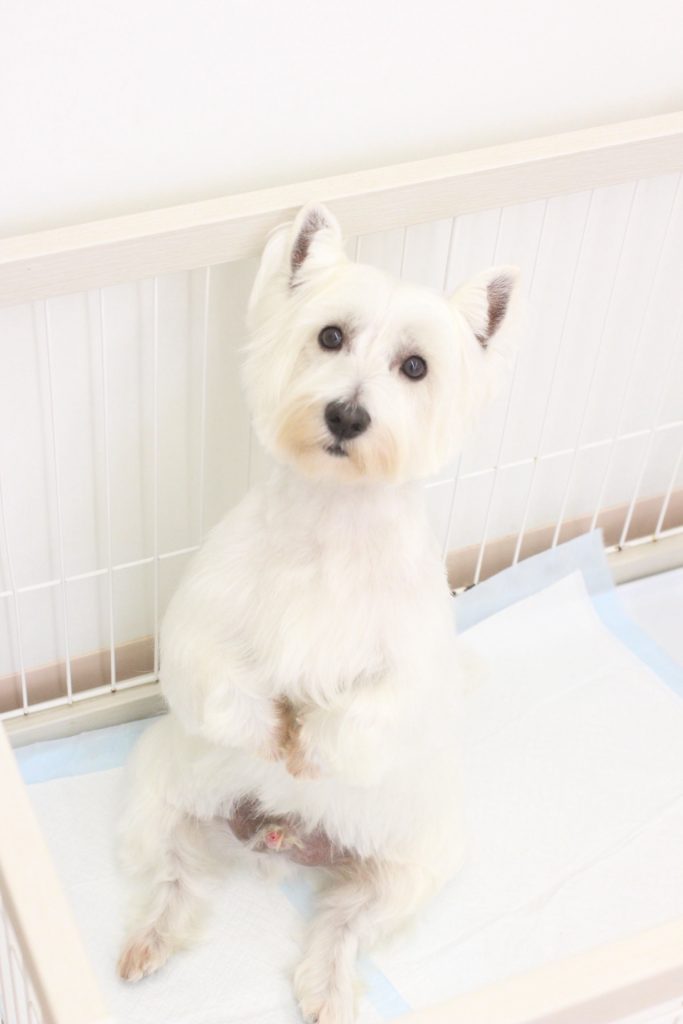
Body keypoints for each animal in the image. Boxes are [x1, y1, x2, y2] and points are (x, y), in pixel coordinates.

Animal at [117, 201, 520, 1024]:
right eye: (330, 336)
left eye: (415, 366)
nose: (346, 414)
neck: (333, 520)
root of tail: (284, 837)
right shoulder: (205, 623)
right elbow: (216, 681)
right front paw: (274, 732)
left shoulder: (406, 669)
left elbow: (365, 713)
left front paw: (306, 747)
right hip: (162, 787)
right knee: (175, 874)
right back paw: (151, 940)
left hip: (414, 860)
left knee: (346, 922)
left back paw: (327, 989)